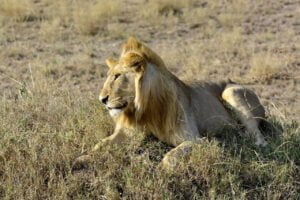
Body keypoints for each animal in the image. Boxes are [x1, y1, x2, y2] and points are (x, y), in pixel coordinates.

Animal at [75, 38, 268, 170]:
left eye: (117, 76)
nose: (102, 99)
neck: (146, 108)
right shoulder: (130, 132)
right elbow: (102, 144)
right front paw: (82, 159)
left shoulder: (195, 139)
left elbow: (171, 156)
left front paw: (160, 170)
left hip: (231, 91)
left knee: (258, 135)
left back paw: (246, 140)